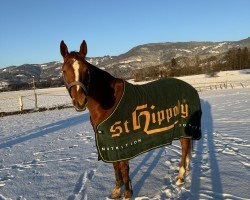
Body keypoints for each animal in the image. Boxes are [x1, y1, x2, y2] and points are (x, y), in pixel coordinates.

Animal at [60, 39, 201, 199]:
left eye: (87, 71)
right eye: (64, 70)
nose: (80, 101)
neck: (107, 100)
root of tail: (190, 87)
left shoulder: (121, 140)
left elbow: (123, 167)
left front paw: (127, 193)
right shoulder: (109, 141)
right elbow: (116, 167)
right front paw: (116, 190)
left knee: (184, 148)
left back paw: (180, 176)